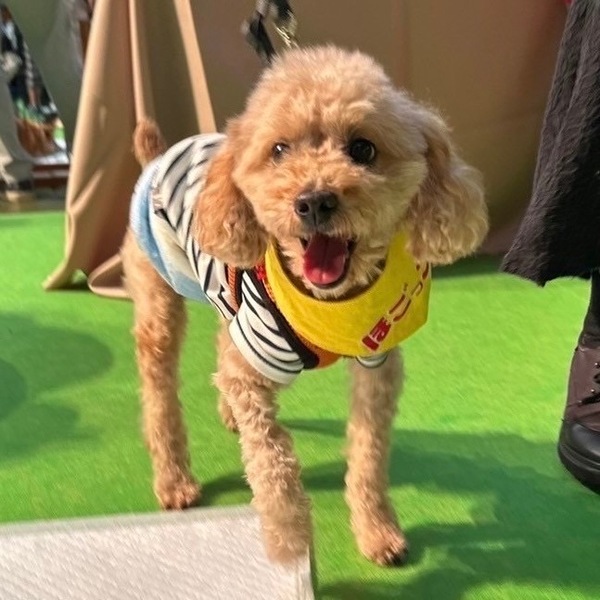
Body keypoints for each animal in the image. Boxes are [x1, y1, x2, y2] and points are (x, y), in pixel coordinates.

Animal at [121, 45, 488, 566]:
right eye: (279, 151)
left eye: (363, 149)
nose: (314, 201)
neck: (329, 303)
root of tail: (158, 155)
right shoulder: (254, 365)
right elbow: (273, 465)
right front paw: (290, 543)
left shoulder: (377, 366)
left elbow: (368, 455)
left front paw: (377, 531)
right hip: (158, 298)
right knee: (159, 392)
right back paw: (174, 480)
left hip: (224, 302)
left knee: (220, 343)